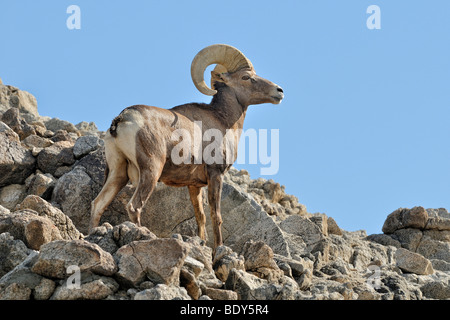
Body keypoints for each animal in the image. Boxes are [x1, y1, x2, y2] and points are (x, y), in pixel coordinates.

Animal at [89, 44, 284, 250]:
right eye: (246, 77)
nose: (279, 91)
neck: (223, 120)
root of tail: (121, 119)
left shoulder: (194, 185)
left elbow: (201, 217)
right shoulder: (216, 175)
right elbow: (216, 216)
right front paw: (218, 250)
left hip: (118, 172)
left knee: (98, 204)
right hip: (151, 170)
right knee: (134, 206)